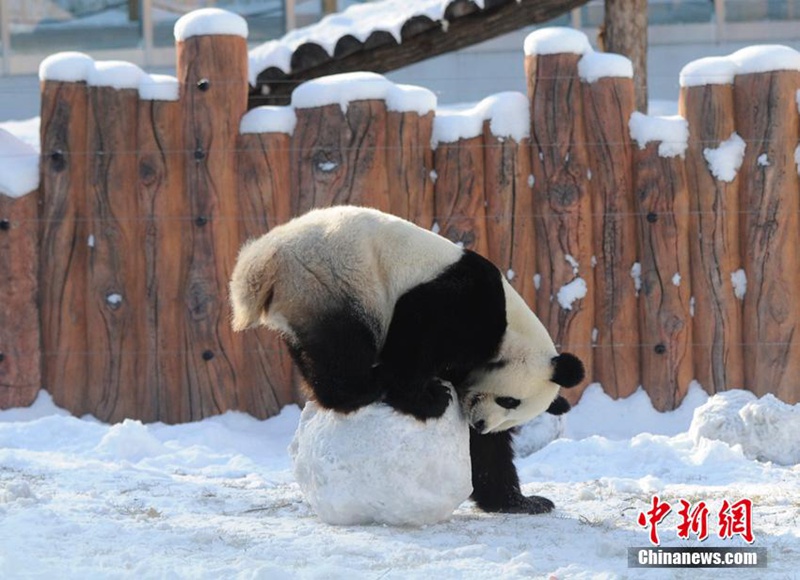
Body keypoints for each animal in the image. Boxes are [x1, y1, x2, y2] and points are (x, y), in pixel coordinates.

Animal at [230, 205, 584, 514]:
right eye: (510, 401)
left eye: (513, 415)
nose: (481, 424)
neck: (512, 336)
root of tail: (262, 260)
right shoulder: (467, 306)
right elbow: (416, 337)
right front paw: (426, 400)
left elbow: (485, 452)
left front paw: (524, 502)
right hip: (331, 279)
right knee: (344, 344)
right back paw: (362, 390)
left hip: (305, 299)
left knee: (314, 351)